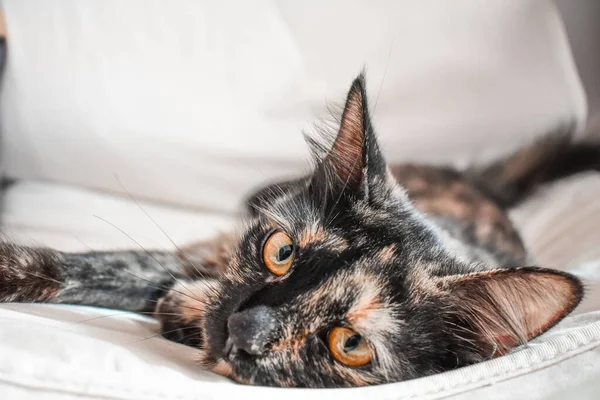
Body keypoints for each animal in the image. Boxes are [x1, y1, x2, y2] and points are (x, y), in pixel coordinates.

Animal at [1, 74, 600, 388]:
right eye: (281, 252)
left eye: (349, 343)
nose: (242, 326)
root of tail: (482, 189)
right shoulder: (200, 255)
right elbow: (80, 268)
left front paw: (181, 312)